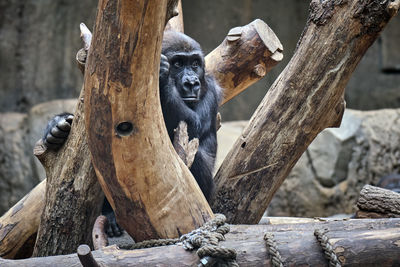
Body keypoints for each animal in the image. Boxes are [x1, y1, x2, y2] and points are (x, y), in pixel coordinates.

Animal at [42, 30, 223, 238]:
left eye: (194, 64)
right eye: (178, 64)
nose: (192, 82)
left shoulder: (211, 89)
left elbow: (193, 125)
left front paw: (161, 78)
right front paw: (57, 126)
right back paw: (110, 215)